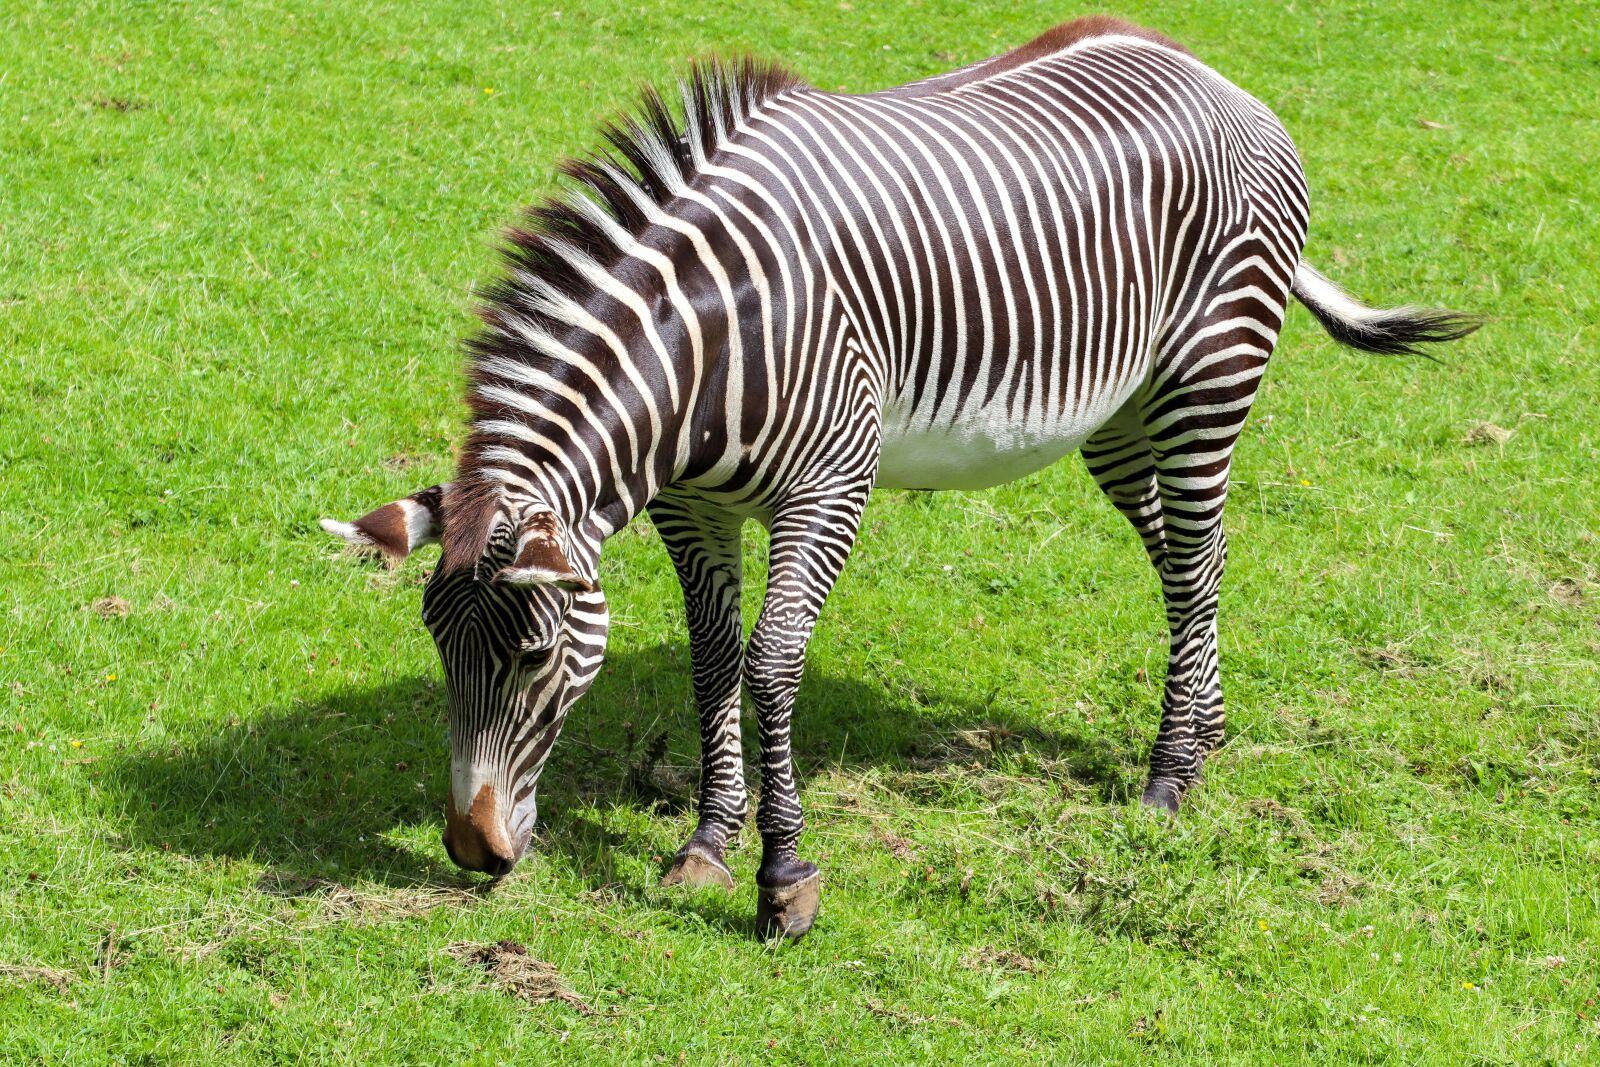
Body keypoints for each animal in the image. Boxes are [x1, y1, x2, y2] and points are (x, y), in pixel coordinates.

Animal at [322, 16, 1478, 939]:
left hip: (1209, 375)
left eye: (530, 657)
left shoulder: (830, 487)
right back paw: (1208, 728)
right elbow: (713, 661)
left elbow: (771, 664)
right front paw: (707, 840)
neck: (711, 344)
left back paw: (1170, 776)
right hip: (1118, 410)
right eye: (439, 652)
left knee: (1195, 561)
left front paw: (784, 878)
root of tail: (1206, 68)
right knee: (1188, 556)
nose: (472, 852)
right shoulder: (691, 506)